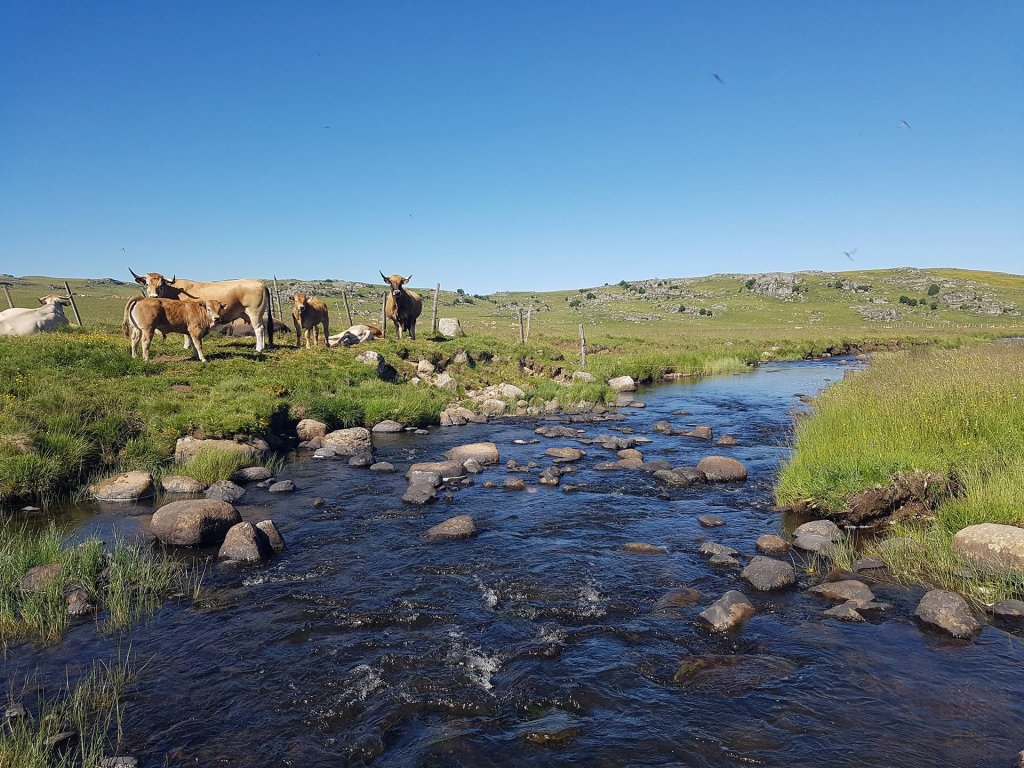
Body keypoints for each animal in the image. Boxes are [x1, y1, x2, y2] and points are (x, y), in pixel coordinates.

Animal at [130, 270, 274, 352]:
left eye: (160, 285)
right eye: (147, 284)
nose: (153, 296)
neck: (175, 290)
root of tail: (258, 280)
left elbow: (186, 333)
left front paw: (186, 346)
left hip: (255, 312)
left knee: (259, 329)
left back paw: (259, 349)